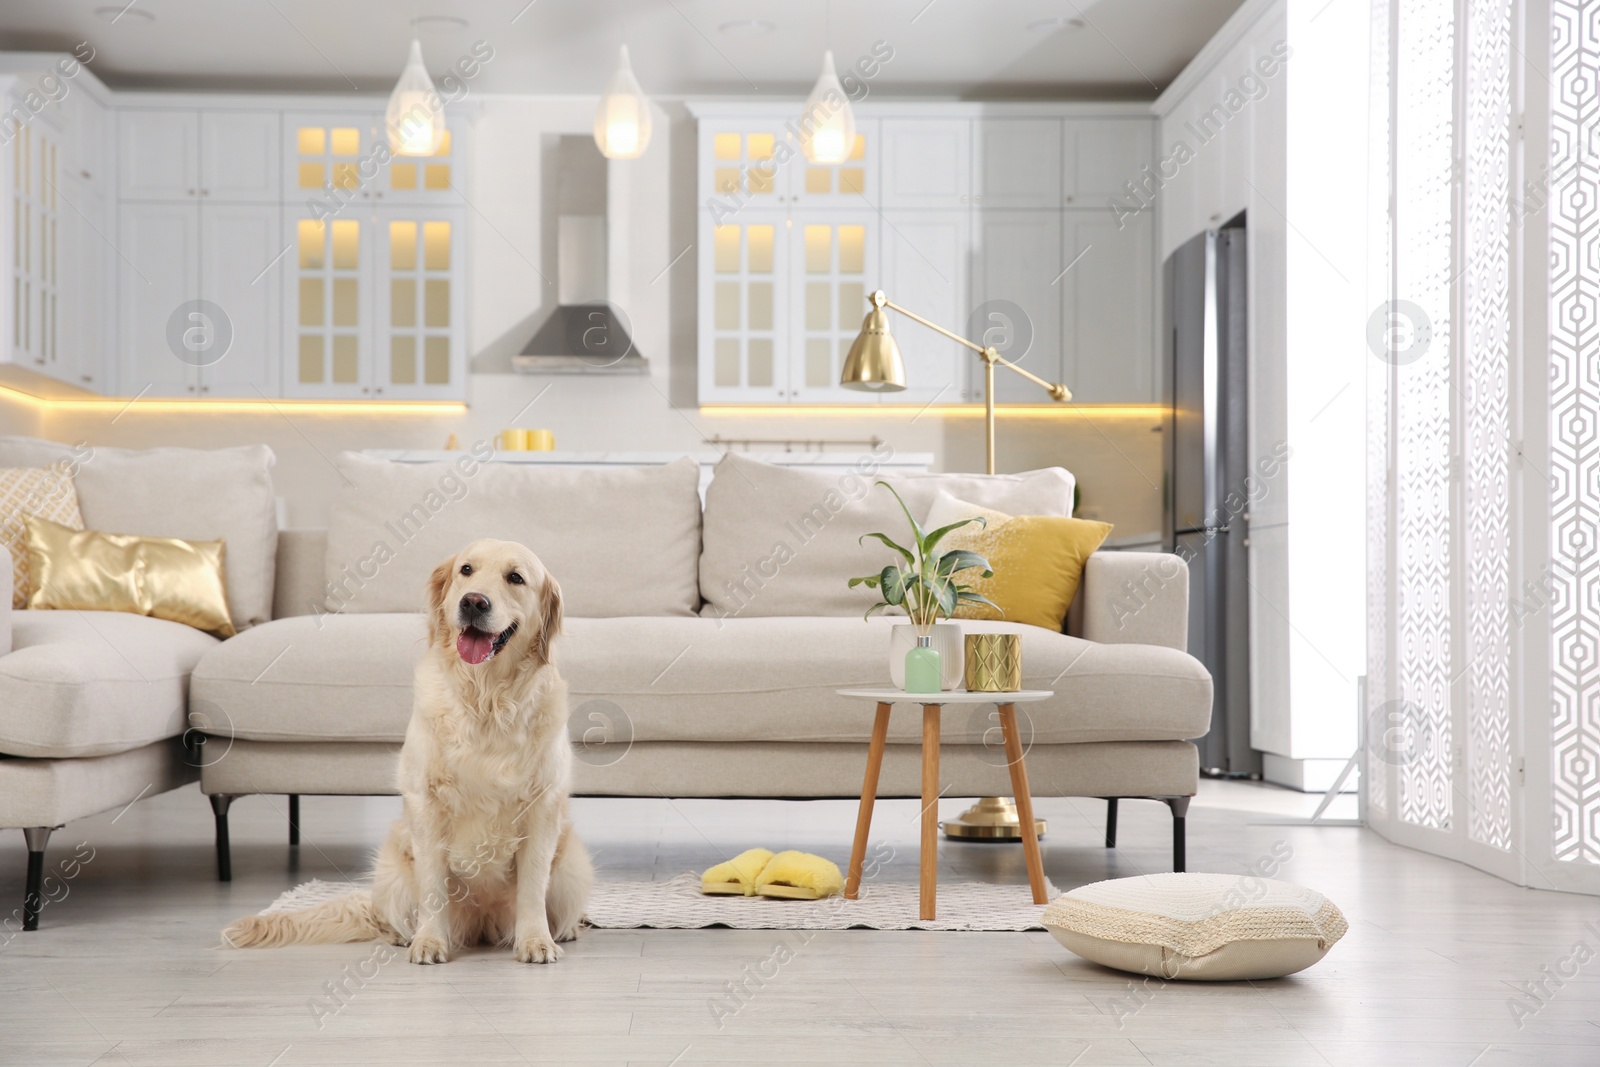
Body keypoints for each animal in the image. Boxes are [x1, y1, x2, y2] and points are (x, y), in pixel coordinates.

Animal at [222, 537, 592, 966]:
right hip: (392, 870)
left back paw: (565, 930)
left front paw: (535, 941)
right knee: (391, 916)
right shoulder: (425, 803)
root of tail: (482, 924)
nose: (473, 602)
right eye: (466, 570)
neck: (486, 700)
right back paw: (405, 935)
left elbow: (532, 885)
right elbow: (432, 883)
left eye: (515, 577)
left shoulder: (542, 806)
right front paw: (429, 941)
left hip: (573, 868)